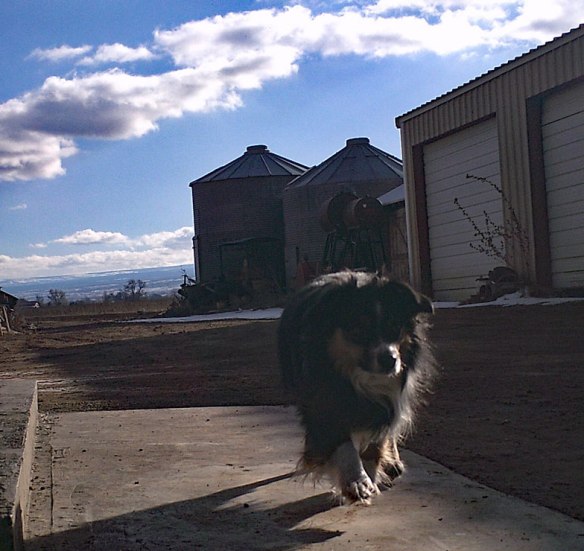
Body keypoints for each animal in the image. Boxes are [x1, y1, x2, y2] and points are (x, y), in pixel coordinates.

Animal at [278, 270, 436, 503]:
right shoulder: (321, 401)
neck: (359, 378)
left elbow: (376, 442)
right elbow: (342, 444)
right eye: (358, 329)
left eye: (394, 327)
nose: (390, 360)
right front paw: (356, 482)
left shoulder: (387, 400)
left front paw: (370, 476)